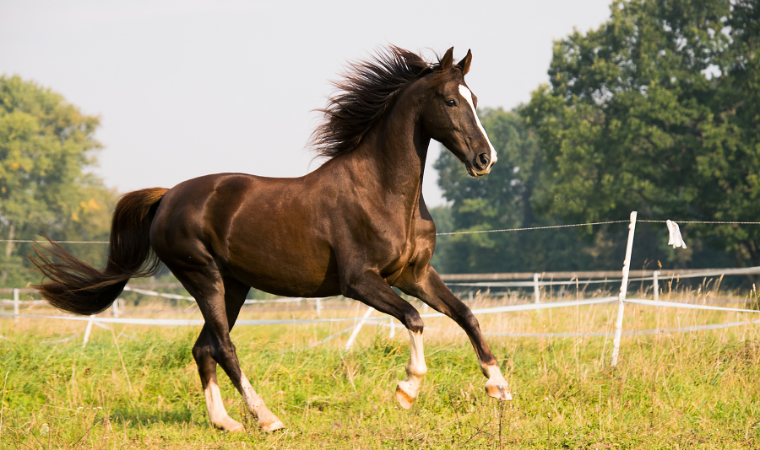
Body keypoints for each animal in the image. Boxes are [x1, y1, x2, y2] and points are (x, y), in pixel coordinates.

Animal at [32, 45, 512, 432]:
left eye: (474, 99)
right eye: (450, 100)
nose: (485, 159)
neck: (383, 192)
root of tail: (167, 197)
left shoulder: (415, 274)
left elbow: (466, 315)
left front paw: (499, 386)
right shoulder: (360, 282)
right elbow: (414, 318)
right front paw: (407, 390)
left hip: (234, 285)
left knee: (203, 348)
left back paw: (225, 423)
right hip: (203, 277)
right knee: (223, 347)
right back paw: (267, 418)